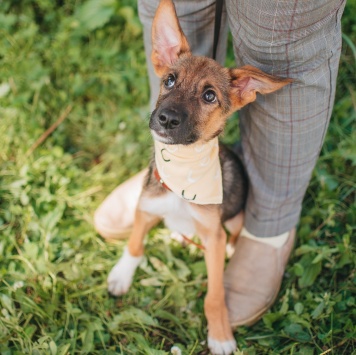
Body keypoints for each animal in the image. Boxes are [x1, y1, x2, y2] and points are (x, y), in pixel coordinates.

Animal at [108, 1, 292, 354]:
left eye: (209, 96)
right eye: (169, 80)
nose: (166, 119)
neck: (183, 172)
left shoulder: (213, 236)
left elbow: (215, 294)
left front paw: (220, 335)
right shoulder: (146, 207)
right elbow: (135, 244)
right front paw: (122, 275)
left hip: (234, 219)